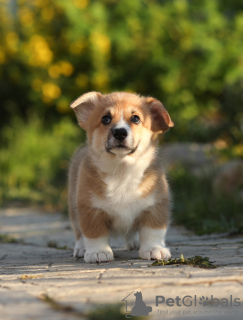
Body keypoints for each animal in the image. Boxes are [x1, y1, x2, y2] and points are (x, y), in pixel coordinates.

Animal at [68, 92, 174, 262]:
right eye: (105, 118)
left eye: (136, 118)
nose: (120, 132)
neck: (123, 171)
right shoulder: (90, 209)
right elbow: (94, 233)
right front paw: (98, 252)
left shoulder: (155, 206)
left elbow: (153, 231)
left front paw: (154, 249)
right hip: (73, 207)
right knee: (79, 232)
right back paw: (81, 248)